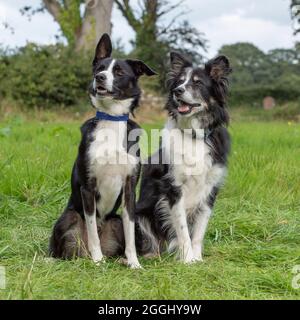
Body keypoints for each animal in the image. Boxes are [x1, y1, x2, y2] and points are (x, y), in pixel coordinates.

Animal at [49, 33, 156, 268]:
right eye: (100, 67)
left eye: (119, 72)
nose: (99, 77)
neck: (112, 119)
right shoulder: (88, 188)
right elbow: (92, 233)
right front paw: (98, 261)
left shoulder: (129, 189)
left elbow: (130, 236)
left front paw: (134, 262)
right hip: (69, 218)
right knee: (66, 250)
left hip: (115, 220)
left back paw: (122, 260)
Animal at [134, 52, 232, 262]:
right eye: (179, 82)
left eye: (197, 83)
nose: (177, 91)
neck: (193, 134)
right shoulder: (173, 188)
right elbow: (182, 229)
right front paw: (187, 260)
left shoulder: (209, 190)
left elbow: (199, 232)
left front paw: (197, 259)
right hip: (139, 214)